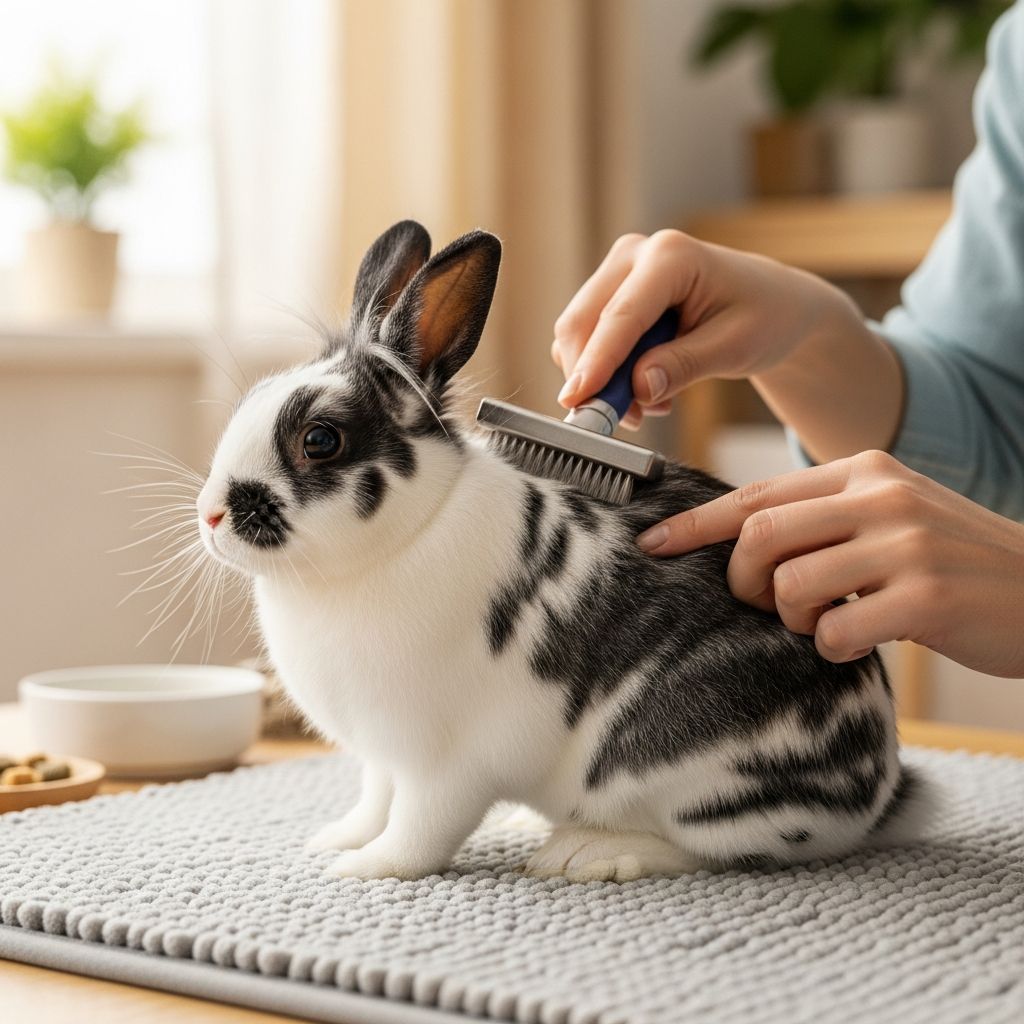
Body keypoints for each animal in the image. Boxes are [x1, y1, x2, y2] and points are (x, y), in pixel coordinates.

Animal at [196, 220, 932, 882]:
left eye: (320, 440)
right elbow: (376, 802)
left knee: (718, 851)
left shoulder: (445, 762)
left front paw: (366, 868)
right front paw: (338, 839)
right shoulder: (383, 756)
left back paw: (585, 853)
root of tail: (878, 794)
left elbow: (420, 828)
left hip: (695, 780)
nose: (211, 514)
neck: (410, 531)